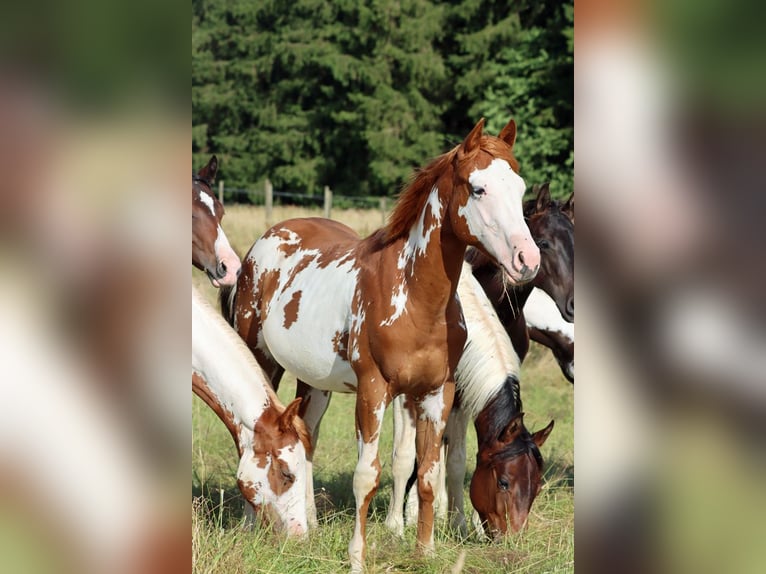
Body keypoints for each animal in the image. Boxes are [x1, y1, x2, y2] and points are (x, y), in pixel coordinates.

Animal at [385, 263, 554, 539]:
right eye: (504, 482)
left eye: (537, 487)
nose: (513, 540)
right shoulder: (406, 396)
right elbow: (405, 457)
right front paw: (395, 528)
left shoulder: (459, 400)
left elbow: (455, 461)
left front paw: (458, 524)